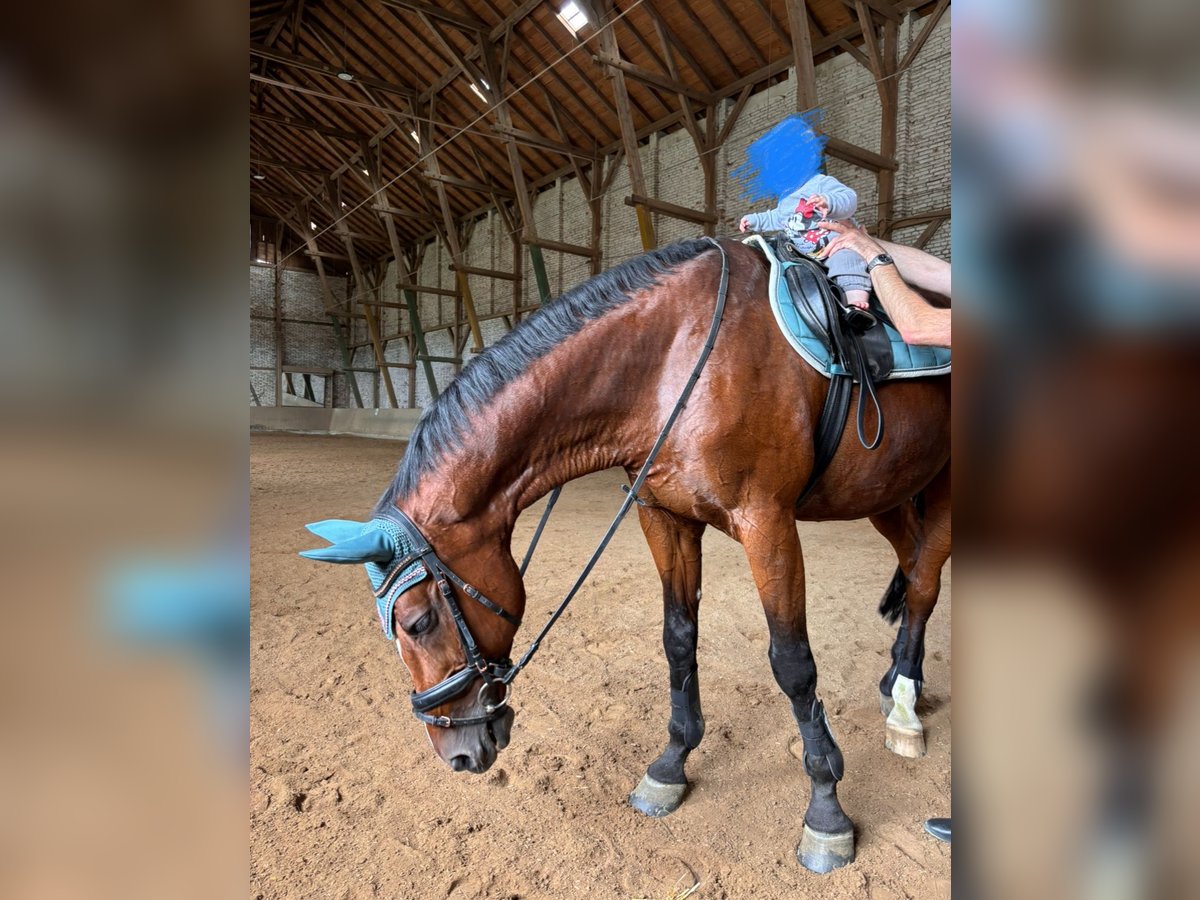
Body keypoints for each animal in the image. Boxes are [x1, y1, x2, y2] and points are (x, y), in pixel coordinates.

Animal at [297, 237, 945, 873]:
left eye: (418, 622)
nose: (454, 753)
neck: (673, 360)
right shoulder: (664, 518)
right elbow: (678, 639)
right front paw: (671, 765)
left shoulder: (768, 523)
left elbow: (792, 663)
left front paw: (826, 812)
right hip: (886, 494)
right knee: (913, 568)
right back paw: (895, 681)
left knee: (924, 583)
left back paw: (905, 709)